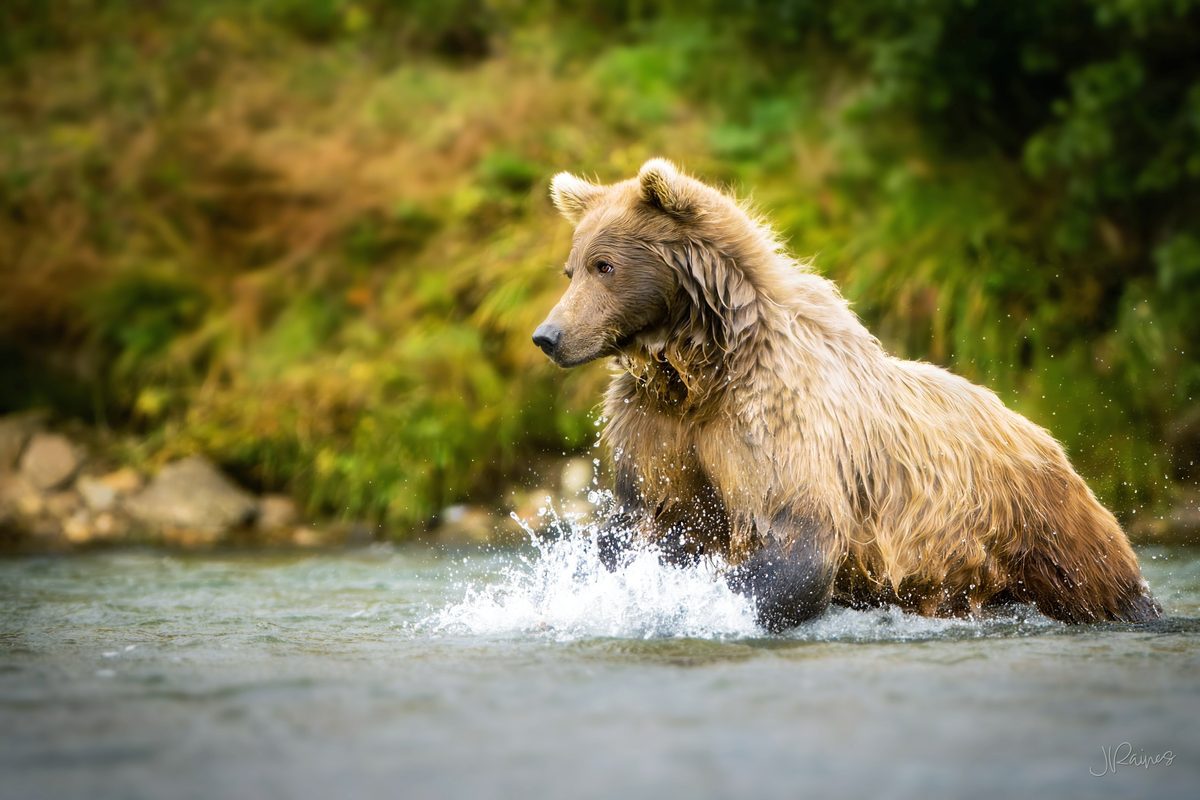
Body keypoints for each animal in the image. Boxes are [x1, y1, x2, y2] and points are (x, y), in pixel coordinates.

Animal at [532, 158, 1161, 631]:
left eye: (604, 265)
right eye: (571, 269)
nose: (548, 335)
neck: (702, 368)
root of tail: (1047, 438)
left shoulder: (774, 420)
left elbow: (798, 536)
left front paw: (706, 602)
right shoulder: (656, 426)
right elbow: (638, 518)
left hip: (1041, 527)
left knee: (1101, 584)